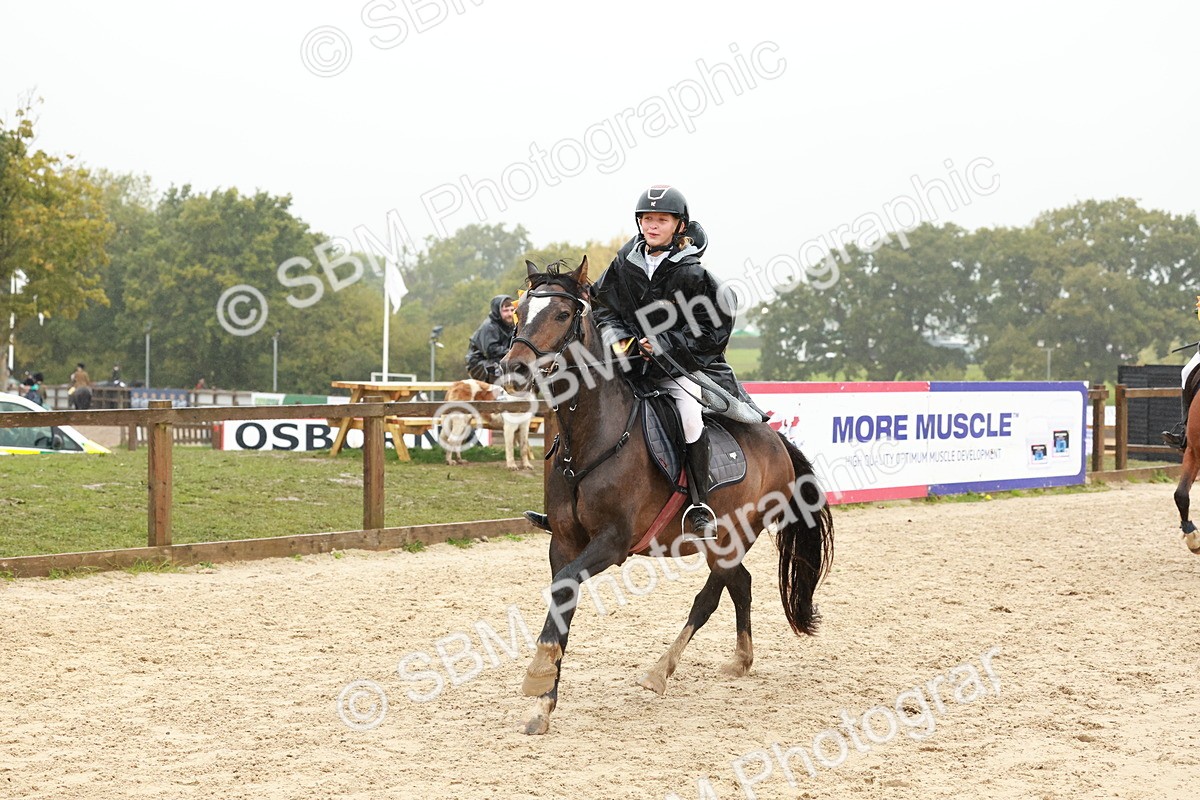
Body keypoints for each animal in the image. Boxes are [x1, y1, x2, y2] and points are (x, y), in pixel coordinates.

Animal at [499, 257, 834, 735]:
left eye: (562, 314)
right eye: (520, 311)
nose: (514, 369)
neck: (591, 437)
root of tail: (776, 441)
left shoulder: (612, 543)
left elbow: (566, 589)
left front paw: (538, 676)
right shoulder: (562, 542)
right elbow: (563, 598)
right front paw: (544, 702)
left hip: (733, 537)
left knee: (712, 595)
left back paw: (661, 670)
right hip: (723, 544)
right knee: (741, 585)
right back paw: (741, 660)